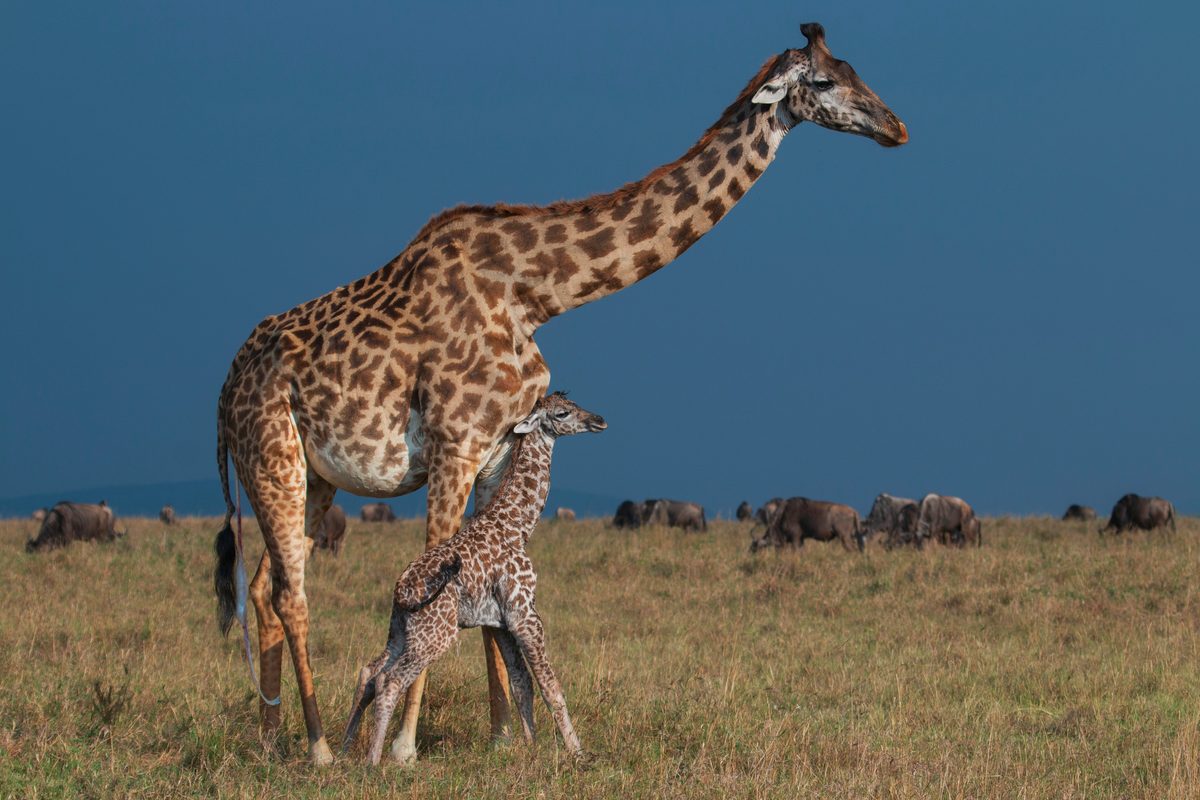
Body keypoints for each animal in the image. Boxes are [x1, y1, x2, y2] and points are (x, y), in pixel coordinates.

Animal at [342, 392, 606, 764]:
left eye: (574, 401)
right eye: (562, 413)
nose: (598, 420)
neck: (518, 526)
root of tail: (401, 590)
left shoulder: (501, 621)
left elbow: (522, 684)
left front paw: (532, 749)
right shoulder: (525, 613)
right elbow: (550, 685)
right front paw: (577, 753)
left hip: (402, 633)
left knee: (369, 673)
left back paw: (342, 750)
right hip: (436, 635)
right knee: (389, 682)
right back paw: (373, 762)